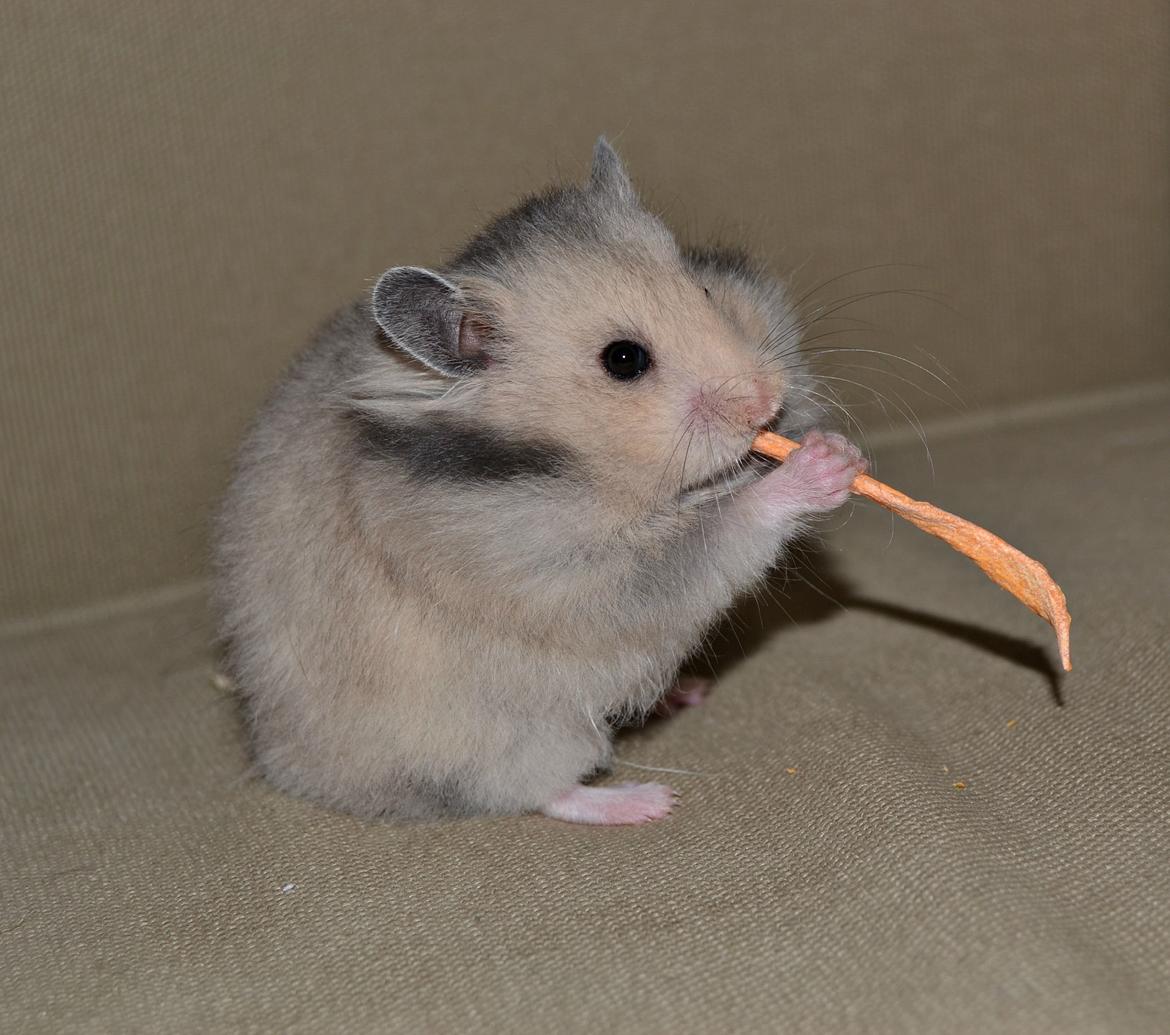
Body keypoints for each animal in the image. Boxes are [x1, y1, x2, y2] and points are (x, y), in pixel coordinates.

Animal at [212, 139, 865, 825]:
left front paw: (833, 446)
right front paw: (816, 469)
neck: (580, 464)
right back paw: (645, 803)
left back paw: (685, 693)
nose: (765, 403)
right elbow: (715, 534)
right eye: (624, 360)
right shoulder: (559, 570)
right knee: (540, 790)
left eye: (706, 289)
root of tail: (285, 766)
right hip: (518, 735)